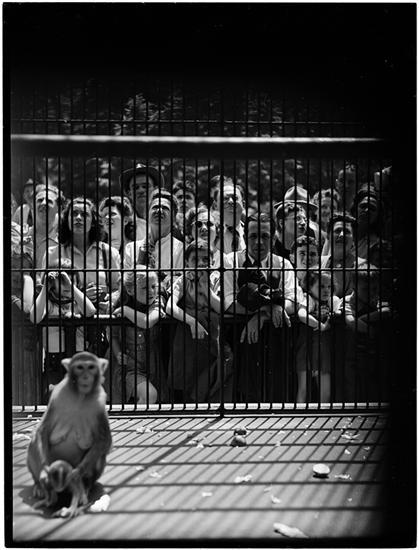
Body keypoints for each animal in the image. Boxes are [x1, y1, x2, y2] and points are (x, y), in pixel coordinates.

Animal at [27, 354, 113, 516]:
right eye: (80, 367)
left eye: (91, 367)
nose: (85, 376)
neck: (80, 396)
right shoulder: (57, 396)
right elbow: (42, 431)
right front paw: (43, 473)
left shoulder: (100, 402)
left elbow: (104, 440)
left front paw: (77, 473)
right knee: (34, 441)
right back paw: (38, 485)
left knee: (100, 456)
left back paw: (85, 488)